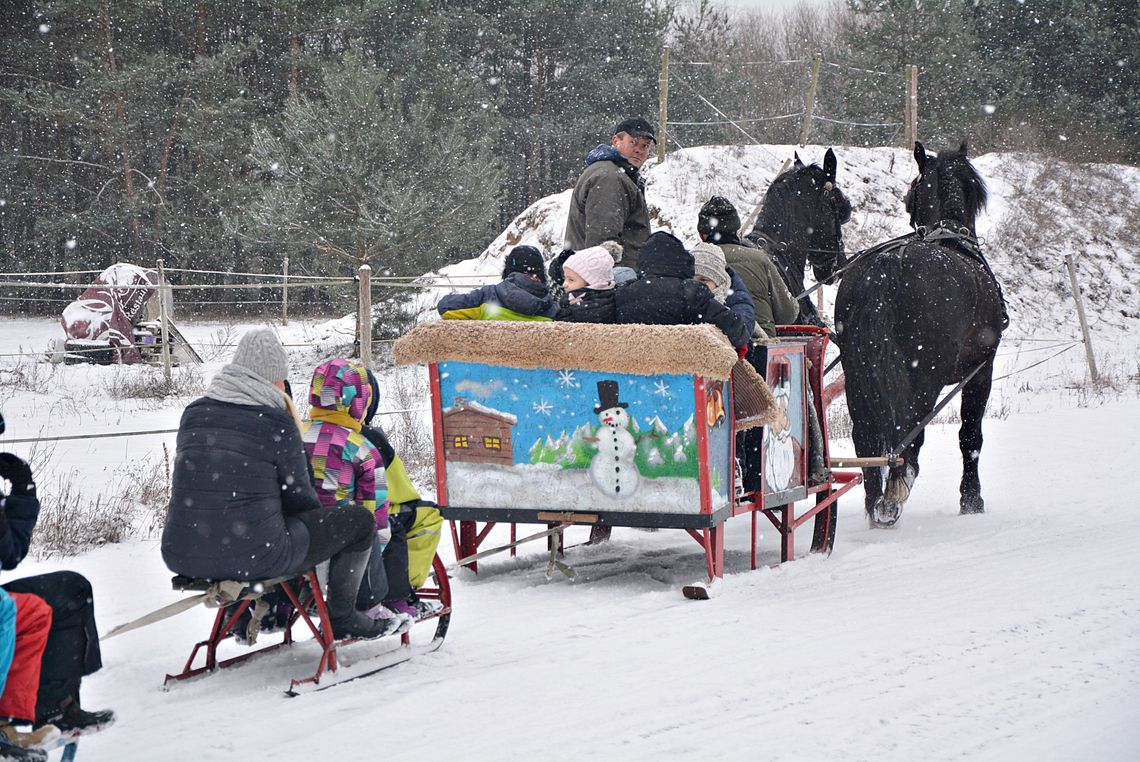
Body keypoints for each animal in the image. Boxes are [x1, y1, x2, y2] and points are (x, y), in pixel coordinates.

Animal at [834, 139, 1003, 527]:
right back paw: (895, 493)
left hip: (856, 373)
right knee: (908, 432)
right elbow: (970, 435)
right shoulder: (981, 371)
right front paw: (972, 499)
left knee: (865, 434)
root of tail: (887, 265)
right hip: (925, 376)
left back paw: (874, 501)